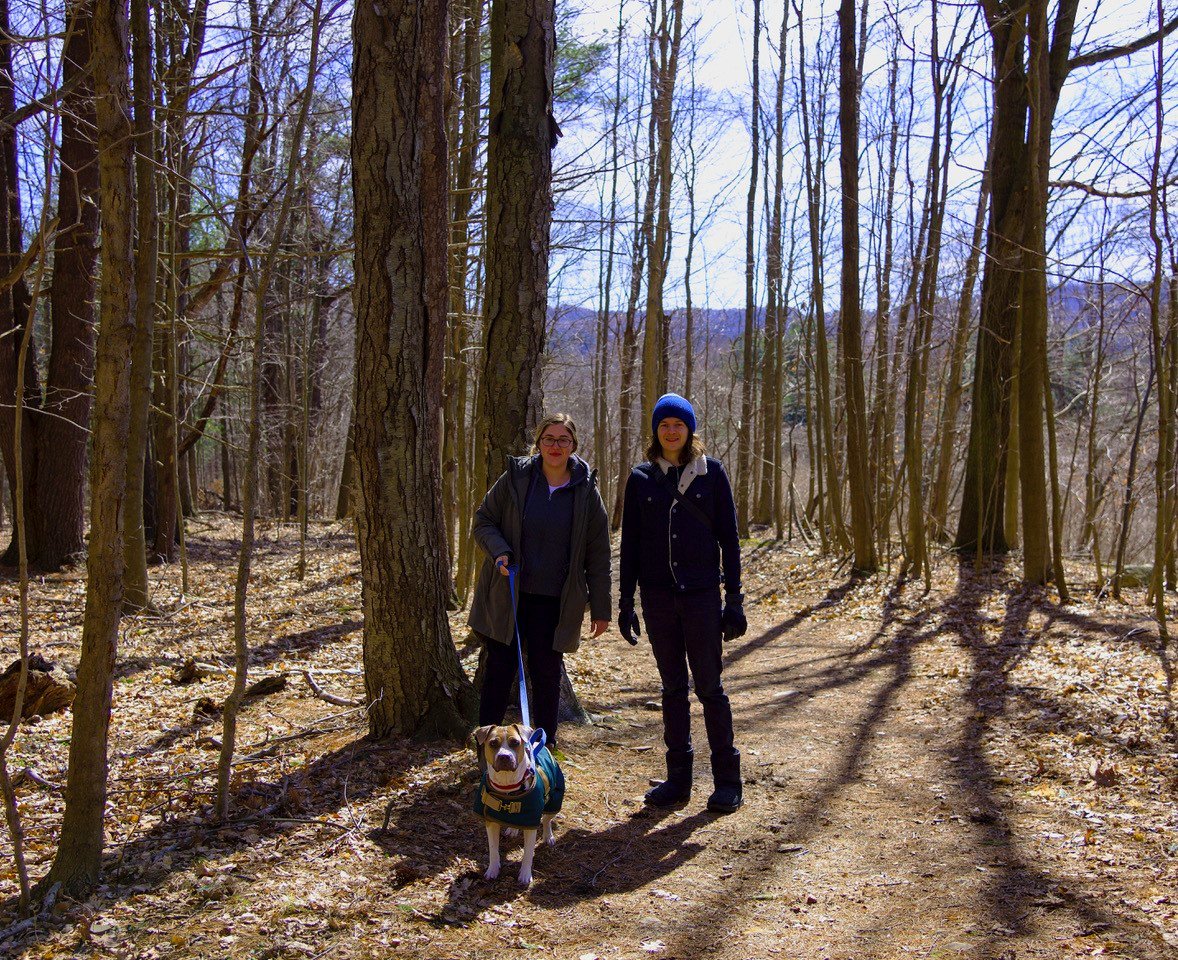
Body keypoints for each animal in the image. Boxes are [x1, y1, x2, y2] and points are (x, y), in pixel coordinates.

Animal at [471, 720, 563, 885]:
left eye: (515, 742)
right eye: (493, 743)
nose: (504, 756)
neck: (507, 786)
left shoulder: (531, 823)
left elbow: (528, 853)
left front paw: (525, 875)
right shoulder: (490, 821)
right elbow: (493, 849)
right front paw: (492, 870)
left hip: (555, 798)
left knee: (547, 819)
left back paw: (548, 837)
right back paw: (513, 829)